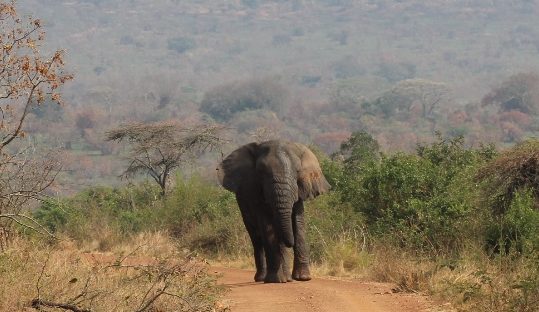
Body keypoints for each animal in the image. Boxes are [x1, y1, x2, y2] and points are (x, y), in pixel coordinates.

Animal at [217, 140, 332, 282]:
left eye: (297, 171)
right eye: (261, 171)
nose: (290, 244)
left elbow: (298, 223)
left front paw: (303, 278)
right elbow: (267, 226)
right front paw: (274, 280)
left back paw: (286, 278)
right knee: (256, 238)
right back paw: (264, 278)